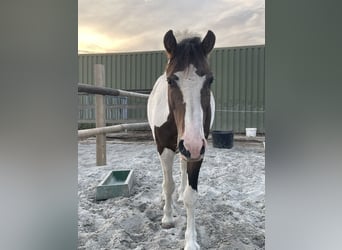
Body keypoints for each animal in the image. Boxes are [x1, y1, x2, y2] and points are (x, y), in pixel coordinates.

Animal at [147, 29, 216, 250]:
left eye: (210, 80)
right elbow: (168, 184)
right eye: (171, 80)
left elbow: (190, 196)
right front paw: (167, 218)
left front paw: (191, 241)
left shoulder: (198, 152)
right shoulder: (165, 148)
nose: (192, 144)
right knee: (166, 179)